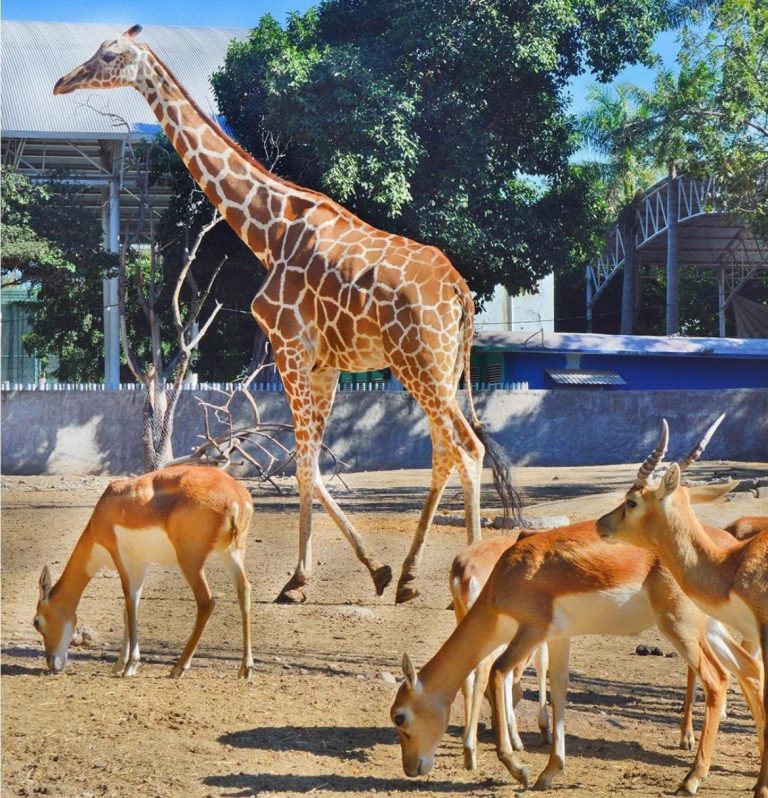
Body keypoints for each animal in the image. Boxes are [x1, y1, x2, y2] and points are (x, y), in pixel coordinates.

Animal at [54, 25, 519, 604]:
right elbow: (311, 464)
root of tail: (459, 292)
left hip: (421, 364)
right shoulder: (325, 365)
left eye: (110, 54)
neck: (268, 230)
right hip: (438, 368)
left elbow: (303, 465)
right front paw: (365, 571)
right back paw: (411, 575)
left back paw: (467, 574)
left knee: (468, 449)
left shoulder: (289, 346)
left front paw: (307, 577)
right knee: (445, 450)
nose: (62, 82)